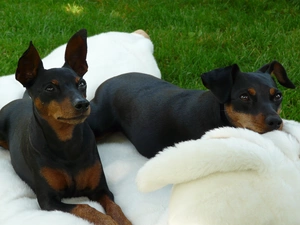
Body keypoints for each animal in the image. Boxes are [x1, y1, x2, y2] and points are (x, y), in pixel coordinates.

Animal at [88, 60, 296, 157]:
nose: (275, 122)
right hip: (98, 123)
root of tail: (102, 86)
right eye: (244, 96)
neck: (219, 116)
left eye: (278, 96)